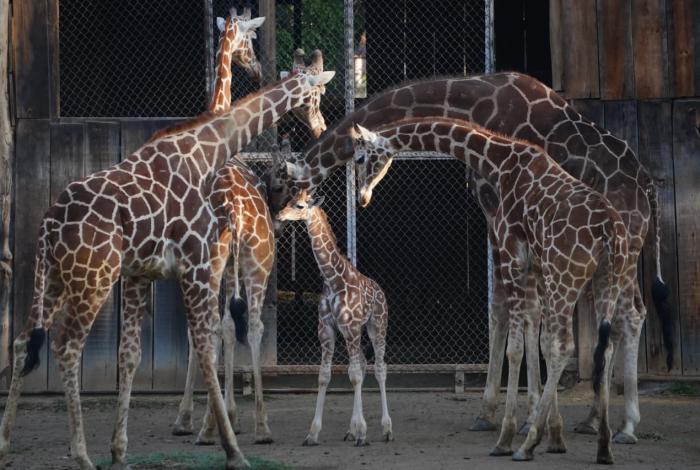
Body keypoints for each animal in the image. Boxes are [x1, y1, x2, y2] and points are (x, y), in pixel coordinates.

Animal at [0, 69, 334, 470]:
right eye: (317, 94)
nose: (320, 125)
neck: (204, 150)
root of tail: (49, 225)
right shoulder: (197, 262)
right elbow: (206, 343)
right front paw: (230, 447)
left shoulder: (142, 274)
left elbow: (131, 353)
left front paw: (120, 450)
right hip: (93, 279)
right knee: (67, 347)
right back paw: (82, 455)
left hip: (51, 278)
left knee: (23, 342)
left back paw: (5, 441)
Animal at [276, 189, 393, 447]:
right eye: (288, 201)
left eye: (299, 206)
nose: (279, 215)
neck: (332, 279)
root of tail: (381, 290)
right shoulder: (327, 329)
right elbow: (325, 376)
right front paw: (313, 434)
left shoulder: (351, 327)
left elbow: (355, 376)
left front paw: (363, 433)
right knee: (363, 364)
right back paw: (351, 431)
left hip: (377, 326)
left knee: (380, 368)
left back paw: (386, 429)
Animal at [350, 117, 631, 463]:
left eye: (360, 158)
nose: (361, 198)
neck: (498, 162)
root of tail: (610, 231)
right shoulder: (534, 266)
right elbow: (534, 339)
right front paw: (553, 434)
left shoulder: (512, 256)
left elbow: (517, 348)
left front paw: (509, 435)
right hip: (607, 280)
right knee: (605, 347)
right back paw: (604, 444)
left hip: (565, 277)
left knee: (565, 346)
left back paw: (526, 446)